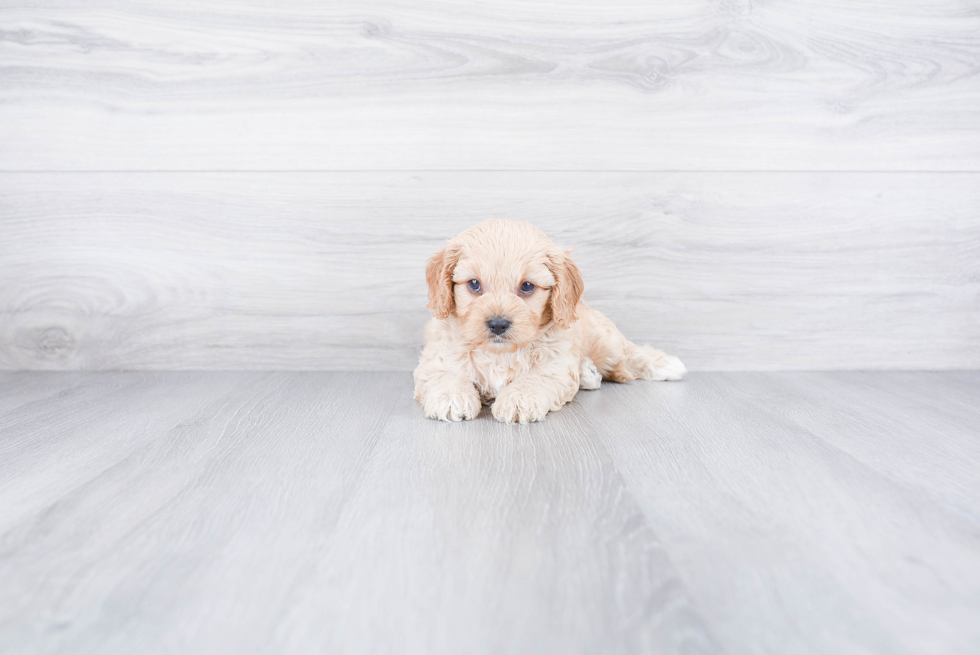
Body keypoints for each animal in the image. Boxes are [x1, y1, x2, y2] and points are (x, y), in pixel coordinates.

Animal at [412, 219, 680, 426]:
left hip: (606, 343)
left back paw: (665, 364)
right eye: (474, 284)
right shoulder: (436, 356)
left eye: (527, 286)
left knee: (627, 355)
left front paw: (518, 400)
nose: (498, 324)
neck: (500, 353)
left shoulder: (554, 365)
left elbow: (534, 379)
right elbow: (444, 374)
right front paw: (451, 397)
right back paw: (588, 373)